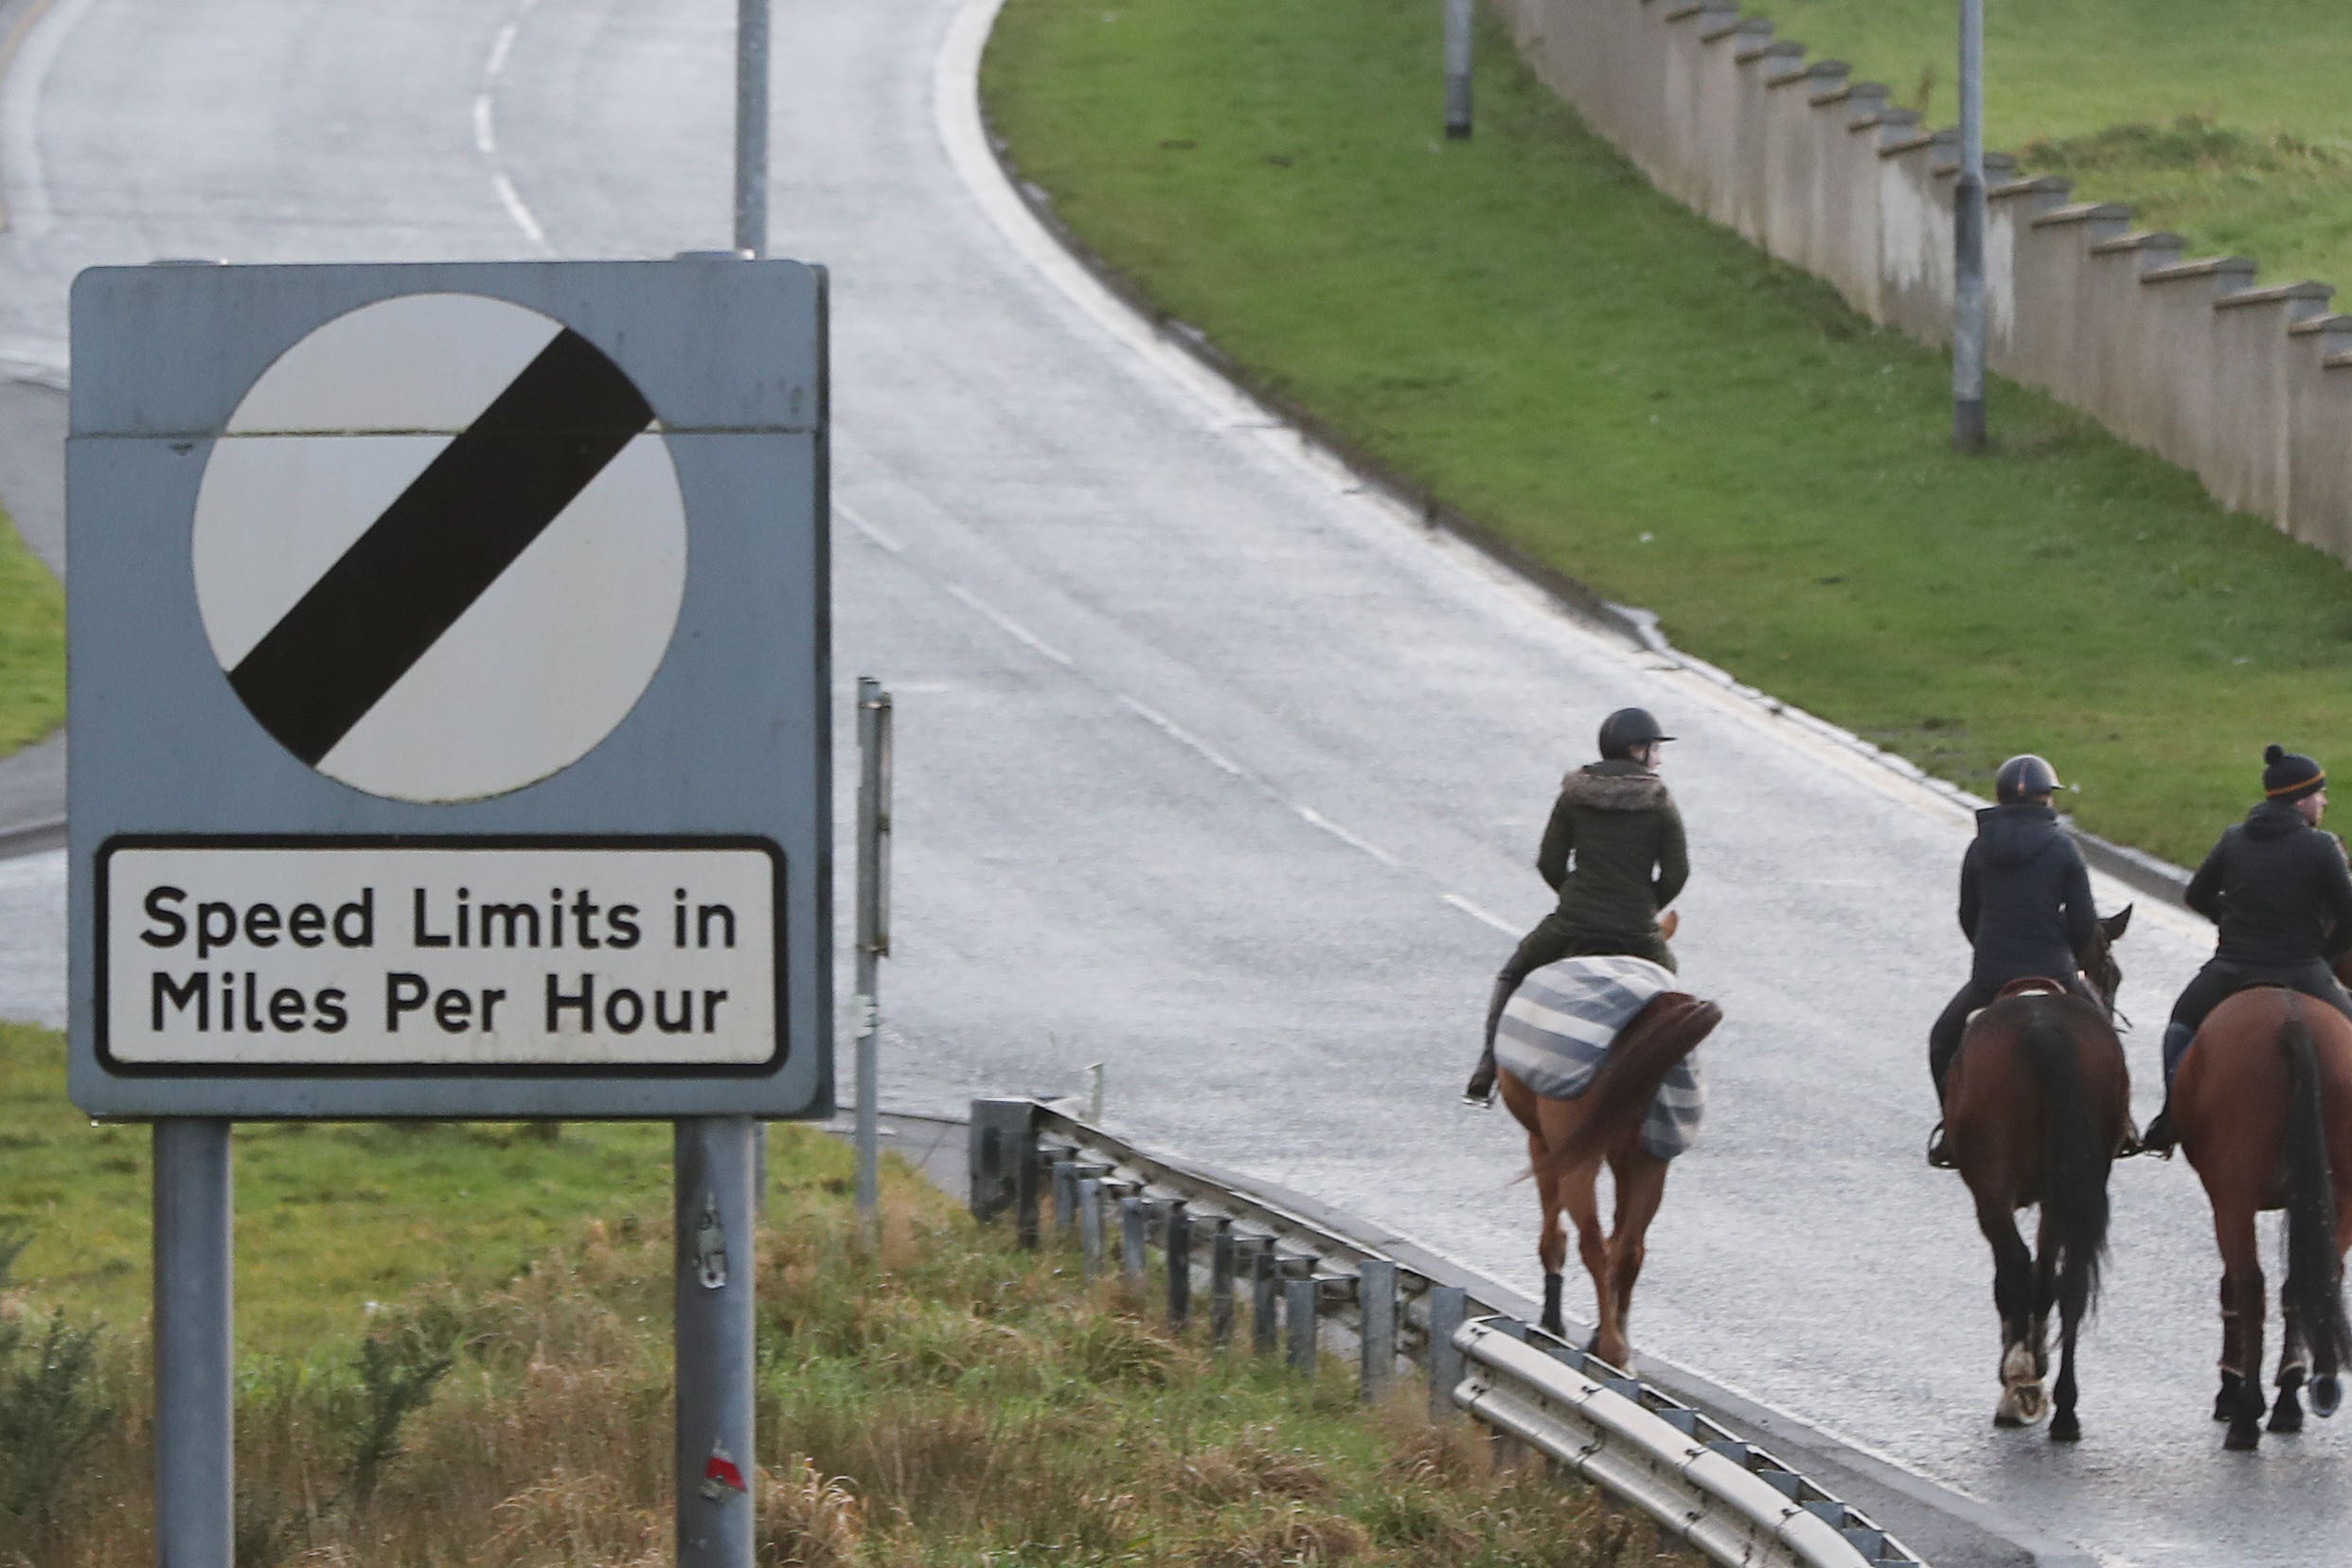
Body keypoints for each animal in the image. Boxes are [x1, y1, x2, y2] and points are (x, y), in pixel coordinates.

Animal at [1495, 991, 1721, 1372]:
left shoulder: (1547, 1144)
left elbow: (1554, 1228)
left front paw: (1553, 1319)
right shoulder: (1622, 1156)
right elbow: (1618, 1237)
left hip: (1581, 1158)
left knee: (1592, 1243)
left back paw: (1610, 1348)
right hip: (1650, 1162)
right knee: (1629, 1248)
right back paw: (1617, 1347)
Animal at [1947, 907, 2135, 1448]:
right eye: (2113, 974)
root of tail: (2043, 1028)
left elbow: (2017, 1277)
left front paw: (2023, 1371)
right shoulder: (2060, 1196)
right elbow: (2049, 1278)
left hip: (1990, 1187)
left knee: (2014, 1267)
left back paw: (2019, 1384)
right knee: (2068, 1282)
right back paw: (2065, 1410)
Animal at [2164, 987, 2352, 1457]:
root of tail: (2292, 1020)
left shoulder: (2225, 1199)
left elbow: (2231, 1286)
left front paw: (2229, 1392)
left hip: (2234, 1196)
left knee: (2250, 1287)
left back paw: (2247, 1412)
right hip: (2342, 1198)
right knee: (2304, 1283)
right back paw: (2289, 1399)